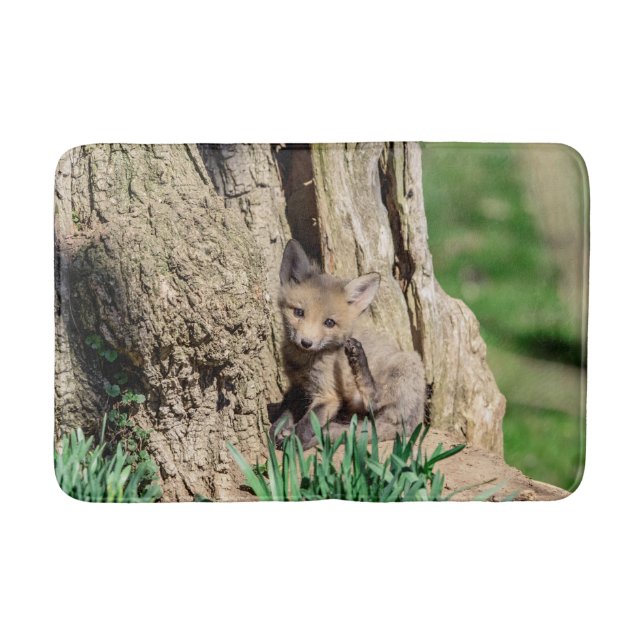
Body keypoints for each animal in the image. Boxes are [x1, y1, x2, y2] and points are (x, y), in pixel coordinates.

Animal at [270, 239, 426, 449]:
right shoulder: (299, 386)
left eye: (329, 323)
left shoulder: (328, 395)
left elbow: (307, 423)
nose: (306, 342)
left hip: (407, 364)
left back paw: (359, 359)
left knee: (374, 400)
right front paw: (278, 429)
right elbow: (286, 411)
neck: (304, 362)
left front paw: (293, 441)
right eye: (298, 313)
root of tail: (413, 423)